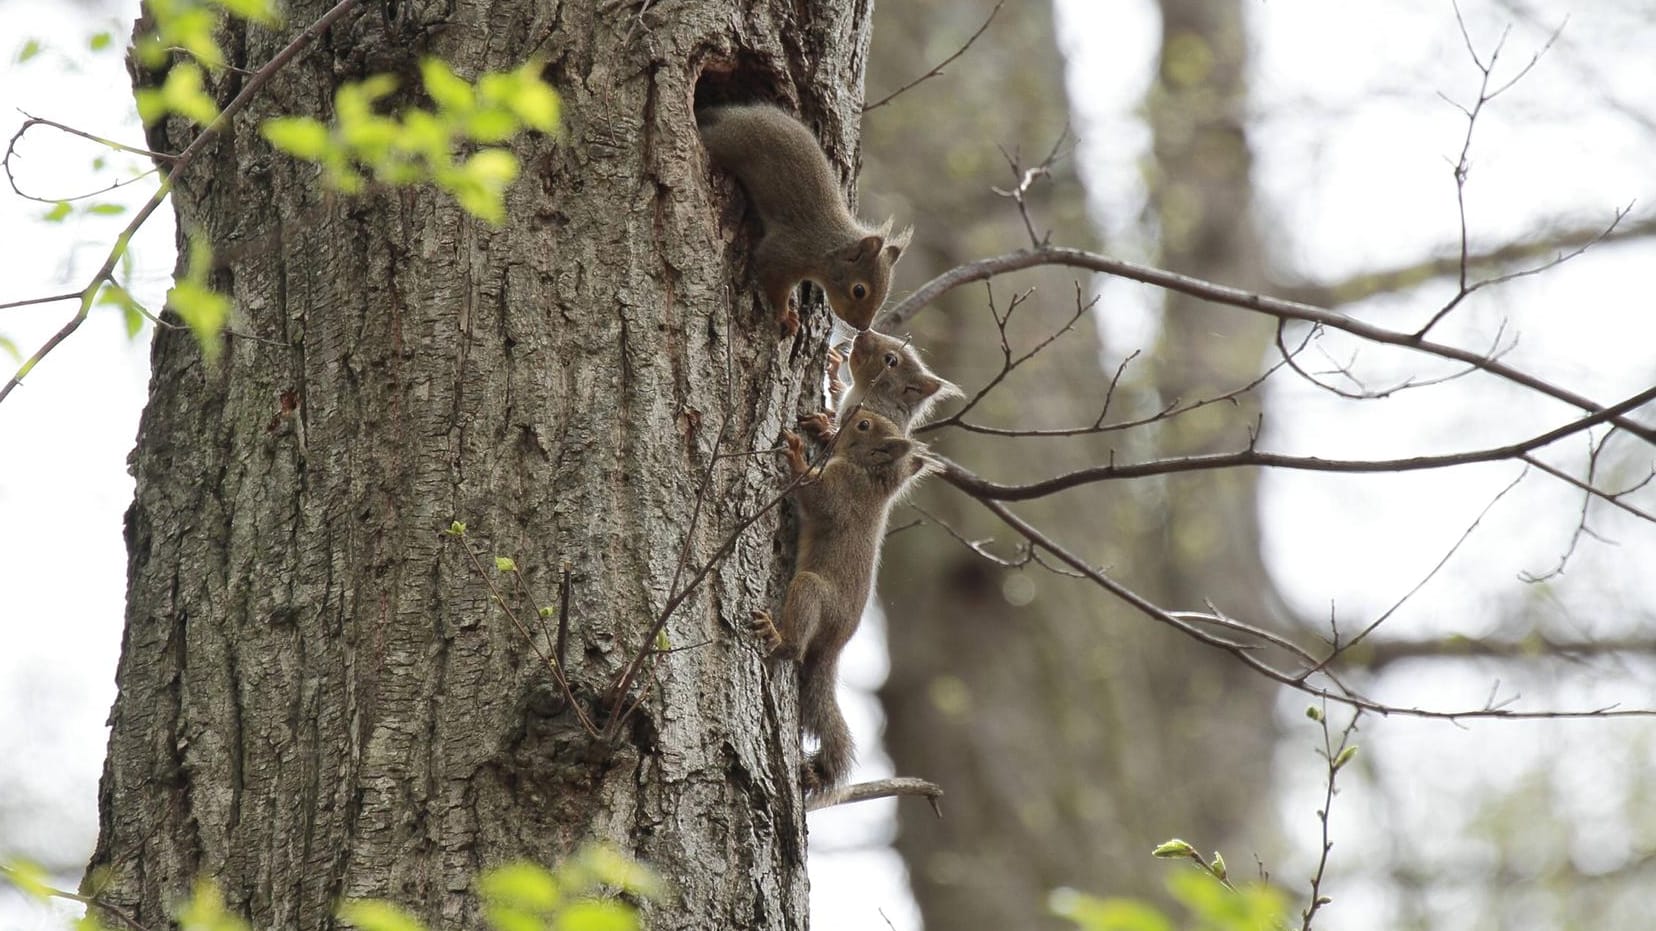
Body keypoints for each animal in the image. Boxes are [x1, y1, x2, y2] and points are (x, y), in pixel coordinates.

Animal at [695, 103, 914, 334]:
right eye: (859, 290)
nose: (862, 327)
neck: (826, 246)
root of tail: (730, 115)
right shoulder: (784, 253)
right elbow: (772, 279)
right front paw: (785, 317)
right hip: (726, 141)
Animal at [748, 409, 933, 785]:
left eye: (864, 426)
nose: (853, 412)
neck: (872, 477)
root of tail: (834, 646)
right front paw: (822, 427)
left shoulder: (842, 488)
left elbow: (818, 497)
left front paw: (796, 456)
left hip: (811, 592)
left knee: (796, 647)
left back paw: (779, 638)